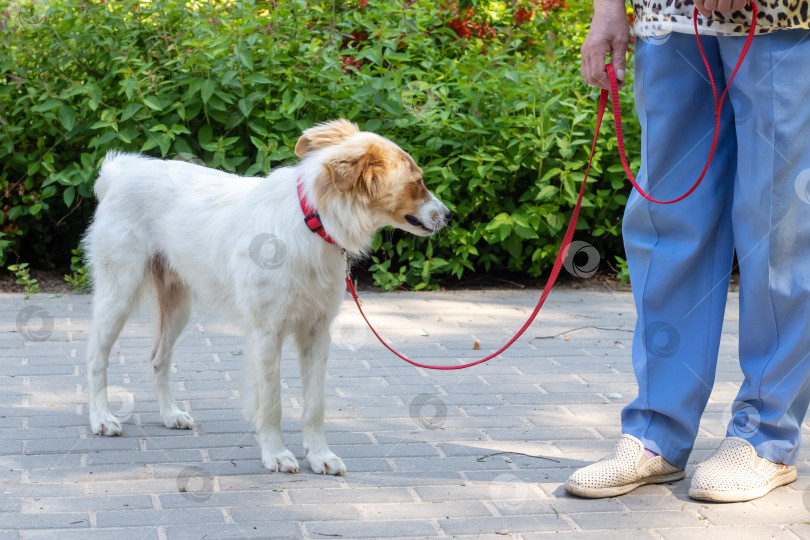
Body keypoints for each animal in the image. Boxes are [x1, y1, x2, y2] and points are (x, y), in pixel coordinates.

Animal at [85, 120, 452, 474]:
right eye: (418, 182)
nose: (450, 216)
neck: (311, 222)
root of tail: (120, 171)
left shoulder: (318, 332)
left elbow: (315, 405)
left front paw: (319, 456)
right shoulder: (267, 333)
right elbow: (272, 403)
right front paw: (276, 454)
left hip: (178, 308)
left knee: (158, 359)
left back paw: (169, 414)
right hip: (118, 294)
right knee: (96, 358)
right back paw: (101, 418)